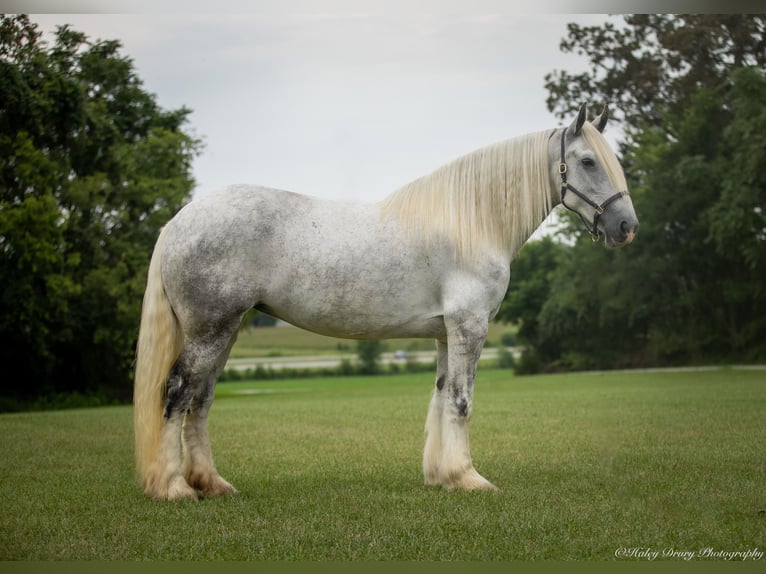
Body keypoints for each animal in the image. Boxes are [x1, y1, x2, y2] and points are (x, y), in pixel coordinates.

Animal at [135, 106, 640, 502]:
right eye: (588, 161)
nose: (626, 227)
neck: (473, 221)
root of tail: (178, 222)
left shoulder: (445, 333)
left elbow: (441, 397)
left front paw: (443, 476)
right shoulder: (469, 326)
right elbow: (462, 401)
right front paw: (470, 478)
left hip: (227, 330)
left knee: (200, 400)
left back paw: (212, 484)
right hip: (210, 330)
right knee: (176, 393)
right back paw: (175, 487)